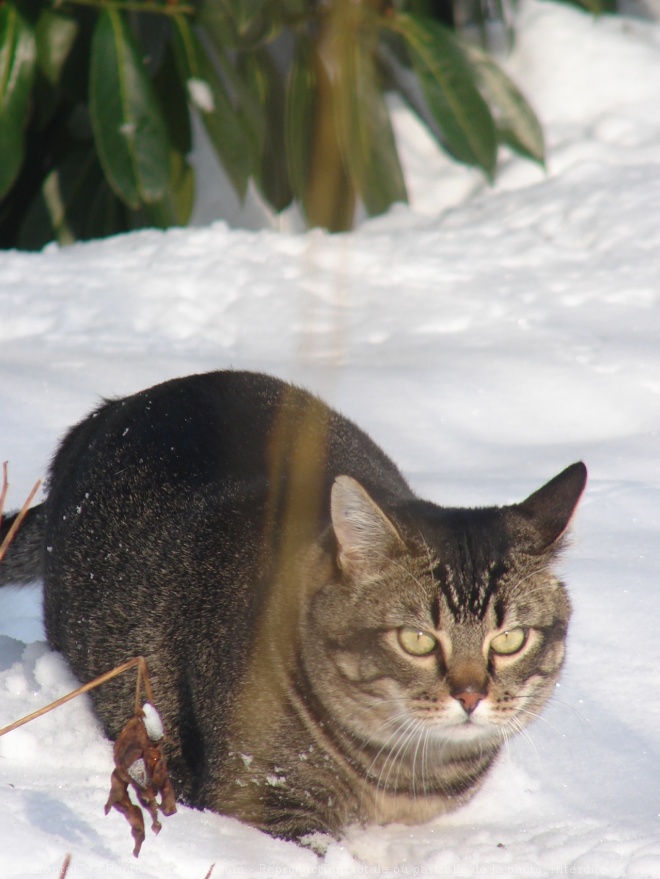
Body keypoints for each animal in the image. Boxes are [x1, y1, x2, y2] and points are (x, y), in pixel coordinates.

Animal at [0, 370, 588, 840]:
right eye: (417, 640)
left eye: (510, 639)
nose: (470, 695)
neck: (406, 776)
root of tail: (110, 408)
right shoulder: (264, 800)